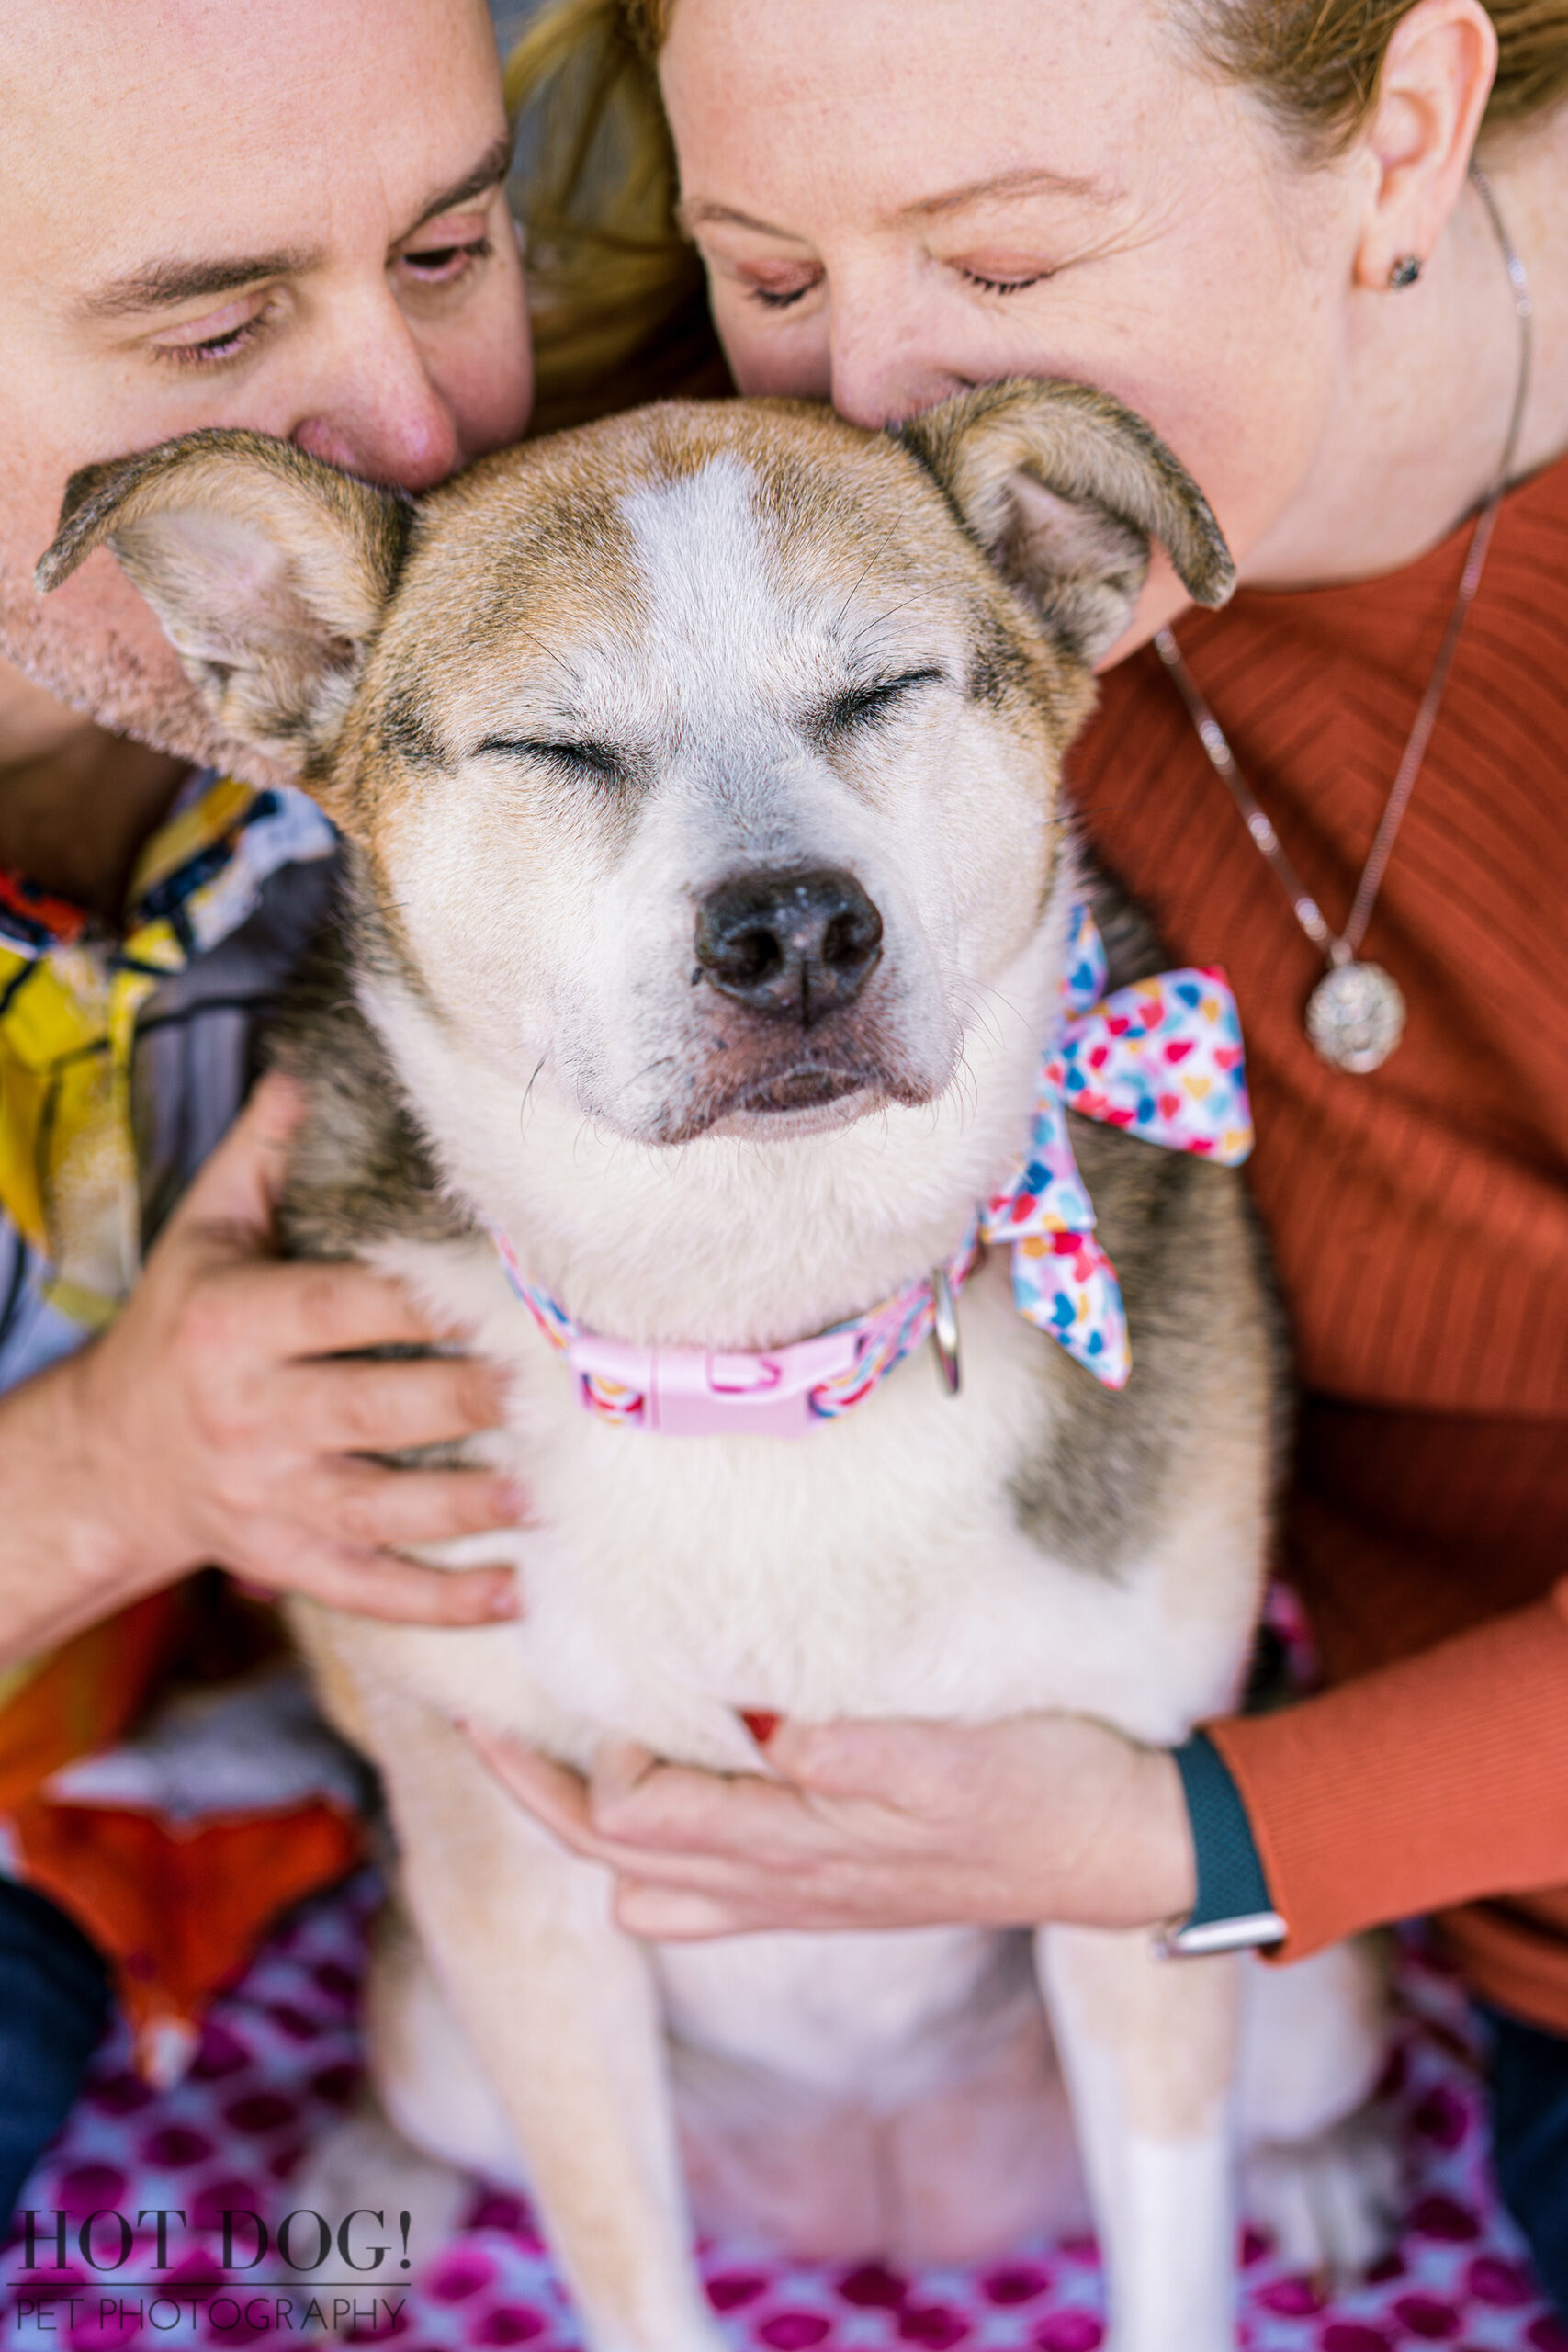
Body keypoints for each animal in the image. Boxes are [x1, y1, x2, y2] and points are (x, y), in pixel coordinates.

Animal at [39, 390, 1382, 2352]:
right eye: (557, 744)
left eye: (884, 689)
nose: (796, 932)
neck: (761, 1334)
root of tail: (873, 2200)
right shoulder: (521, 1897)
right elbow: (625, 2264)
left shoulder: (1135, 1859)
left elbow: (1171, 2276)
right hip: (440, 2010)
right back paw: (368, 2184)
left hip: (1298, 2003)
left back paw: (1330, 2164)